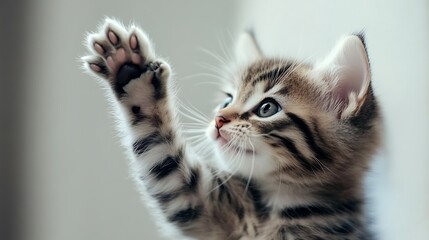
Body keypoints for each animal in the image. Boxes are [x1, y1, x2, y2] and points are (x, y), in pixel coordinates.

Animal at [82, 18, 380, 240]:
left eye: (267, 108)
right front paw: (131, 71)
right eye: (227, 100)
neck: (281, 204)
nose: (218, 119)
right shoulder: (198, 202)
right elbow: (163, 160)